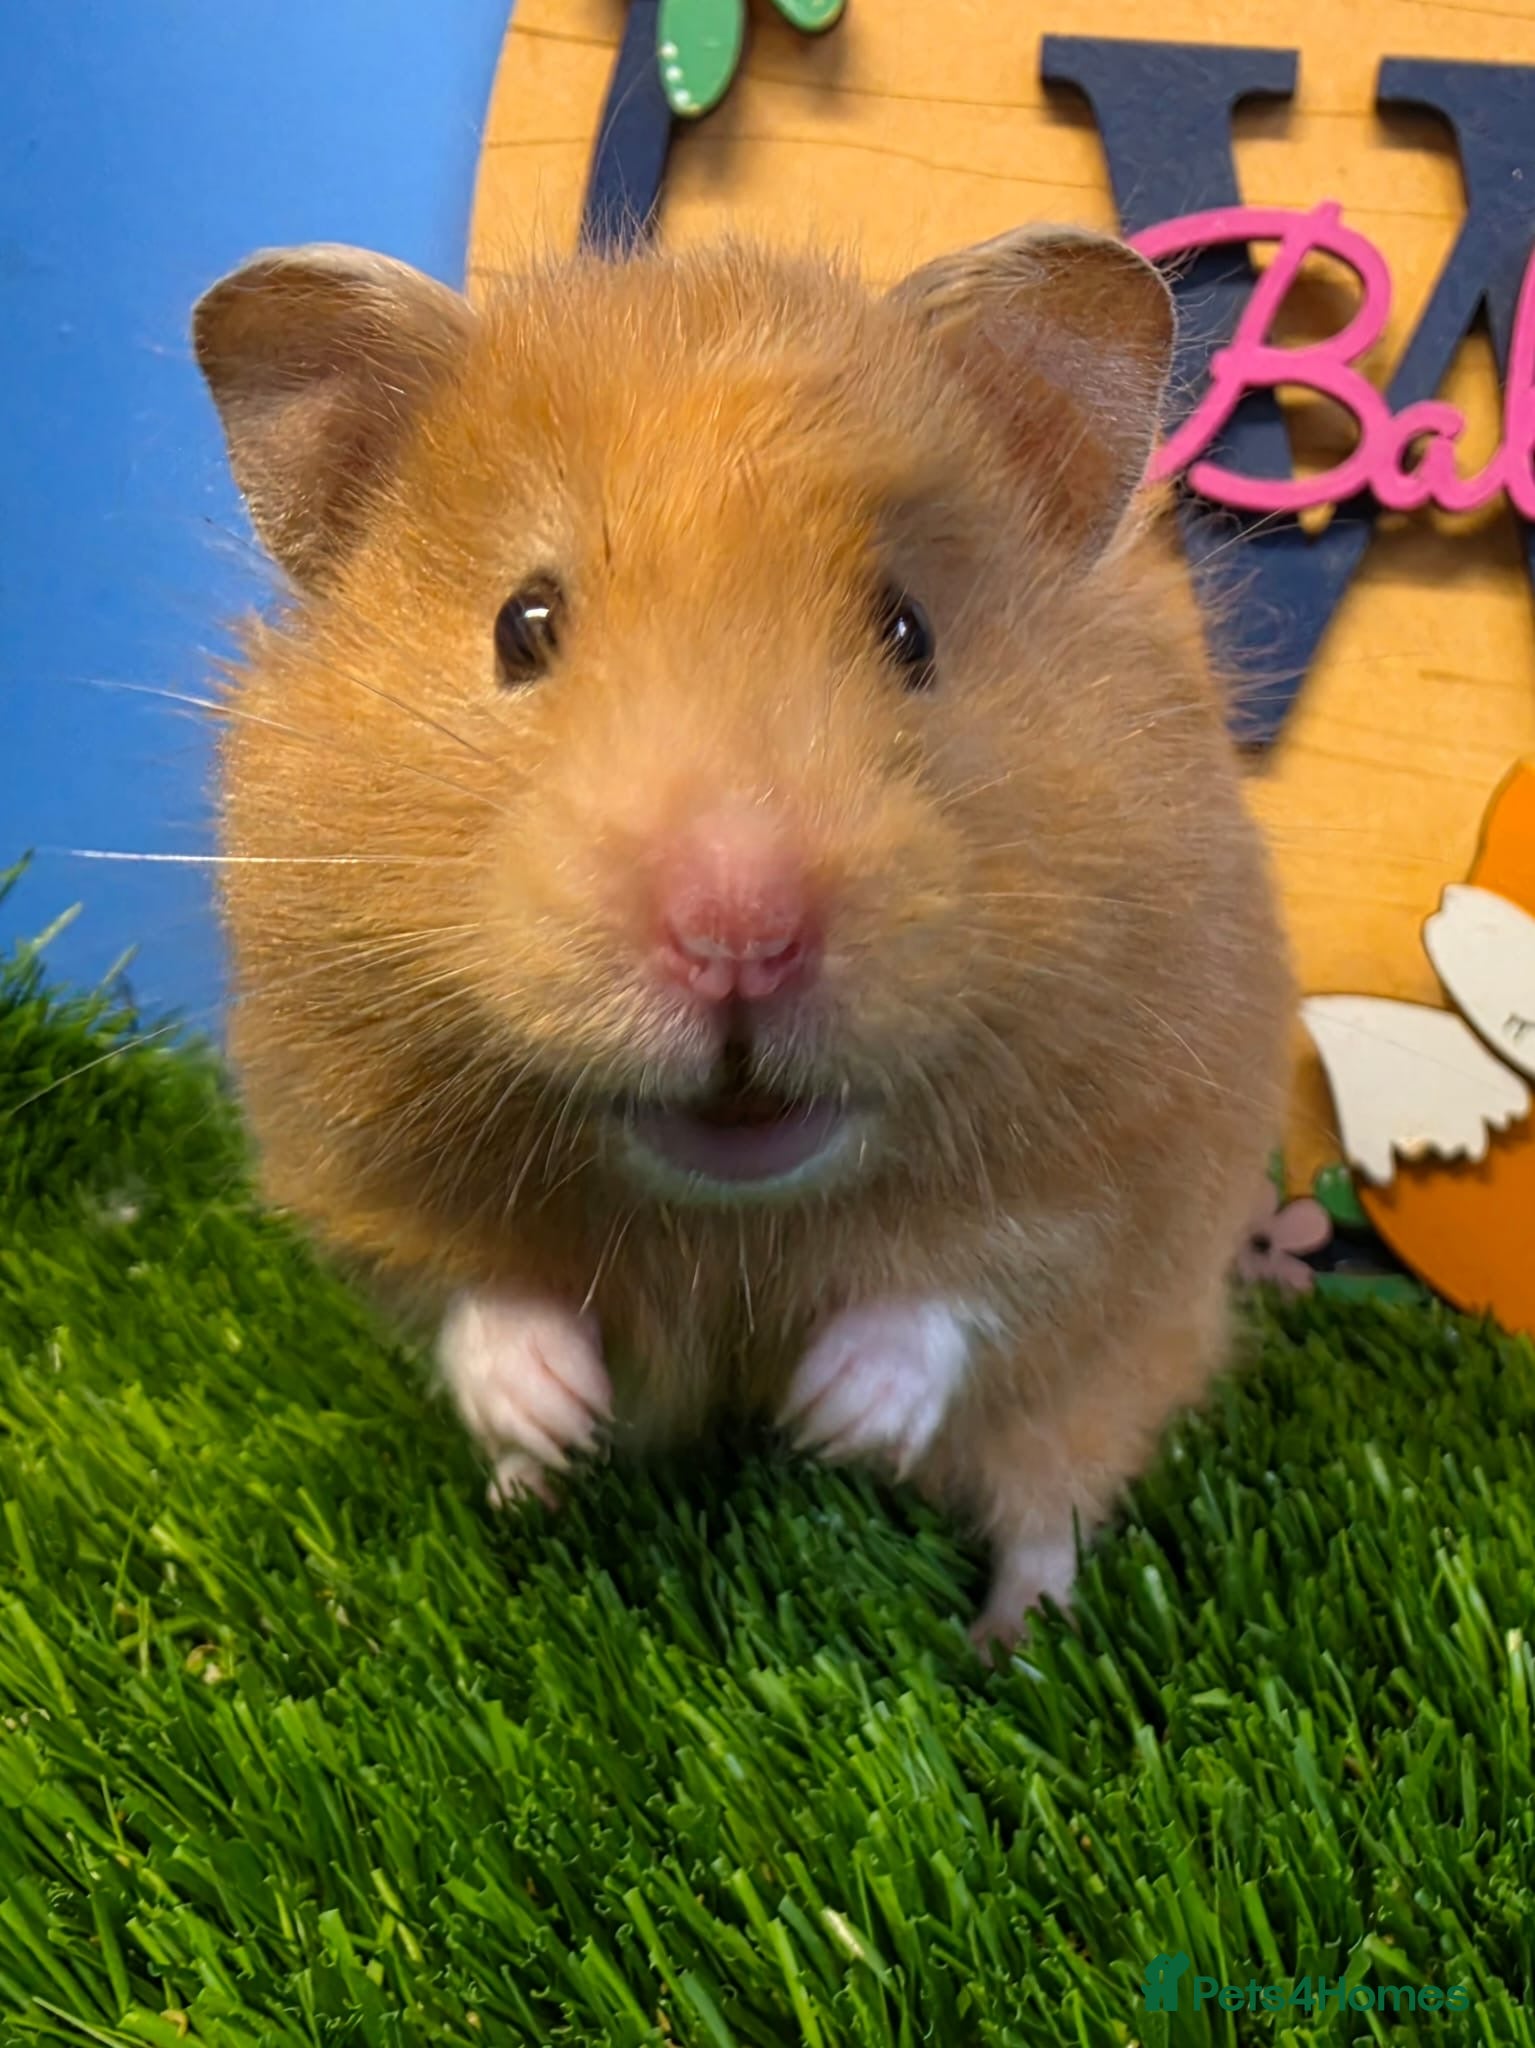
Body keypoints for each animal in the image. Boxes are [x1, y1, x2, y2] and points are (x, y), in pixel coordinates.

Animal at [193, 228, 1293, 1651]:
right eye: (521, 626)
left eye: (908, 630)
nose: (737, 931)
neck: (726, 1217)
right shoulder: (355, 1165)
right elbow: (478, 1299)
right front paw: (558, 1409)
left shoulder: (1130, 1168)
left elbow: (963, 1290)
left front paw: (826, 1415)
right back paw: (526, 1492)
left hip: (1122, 1363)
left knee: (1045, 1492)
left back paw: (1011, 1644)